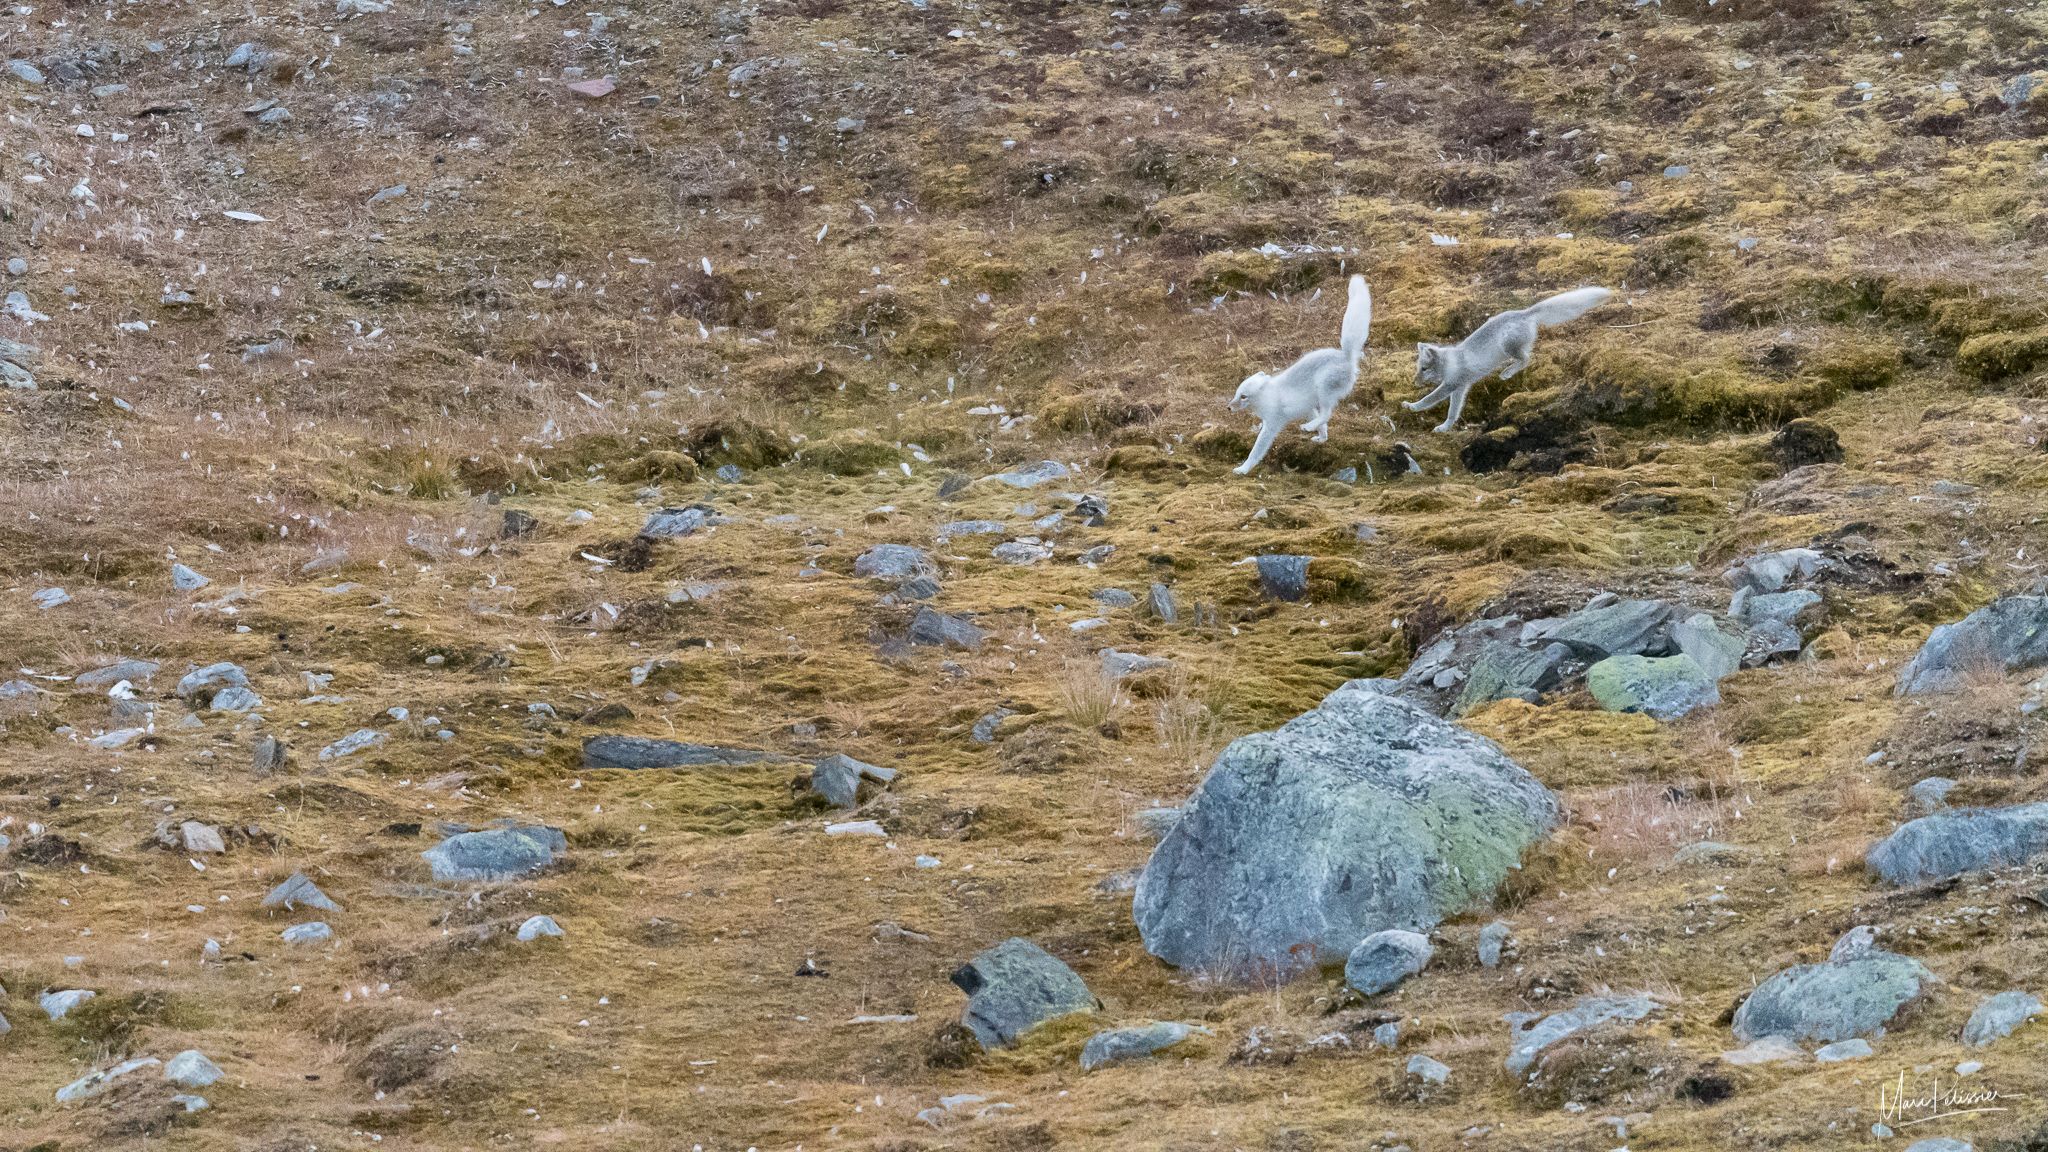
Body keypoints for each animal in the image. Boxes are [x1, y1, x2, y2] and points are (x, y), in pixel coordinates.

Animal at [1226, 274, 1373, 475]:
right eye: (1236, 393)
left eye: (1243, 396)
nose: (1228, 407)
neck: (1266, 397)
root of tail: (1347, 358)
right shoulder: (1307, 408)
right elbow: (1322, 425)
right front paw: (1322, 437)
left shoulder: (1272, 423)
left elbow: (1257, 450)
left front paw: (1243, 469)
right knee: (1324, 417)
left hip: (1324, 387)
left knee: (1327, 413)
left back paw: (1307, 427)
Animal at [1404, 286, 1613, 433]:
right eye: (1418, 368)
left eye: (1424, 369)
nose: (1414, 382)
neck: (1450, 362)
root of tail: (1524, 313)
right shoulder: (1461, 387)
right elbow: (1453, 412)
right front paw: (1445, 427)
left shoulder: (1452, 384)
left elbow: (1430, 399)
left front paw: (1412, 406)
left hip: (1508, 345)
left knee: (1526, 358)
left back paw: (1506, 373)